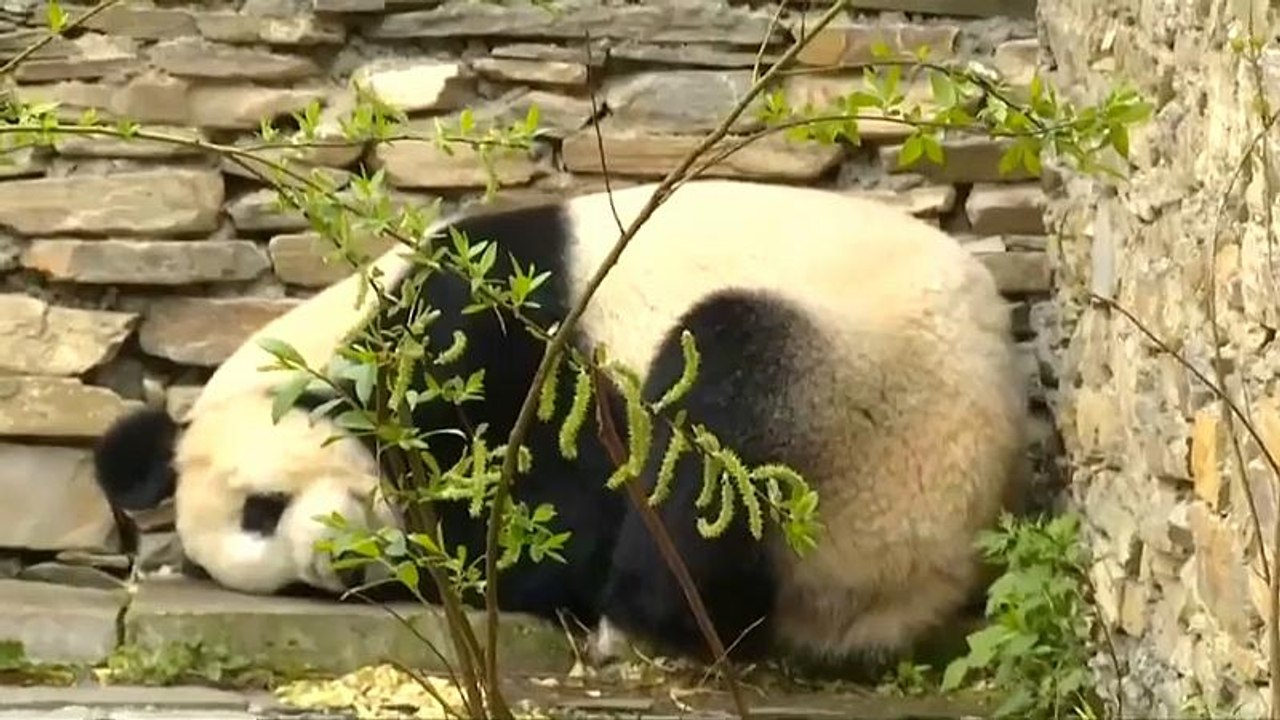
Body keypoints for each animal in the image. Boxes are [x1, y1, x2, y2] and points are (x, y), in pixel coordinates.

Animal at [93, 178, 1029, 672]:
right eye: (288, 585)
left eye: (263, 508)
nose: (341, 569)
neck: (341, 335)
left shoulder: (493, 324)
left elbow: (554, 490)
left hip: (872, 406)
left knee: (726, 393)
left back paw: (638, 615)